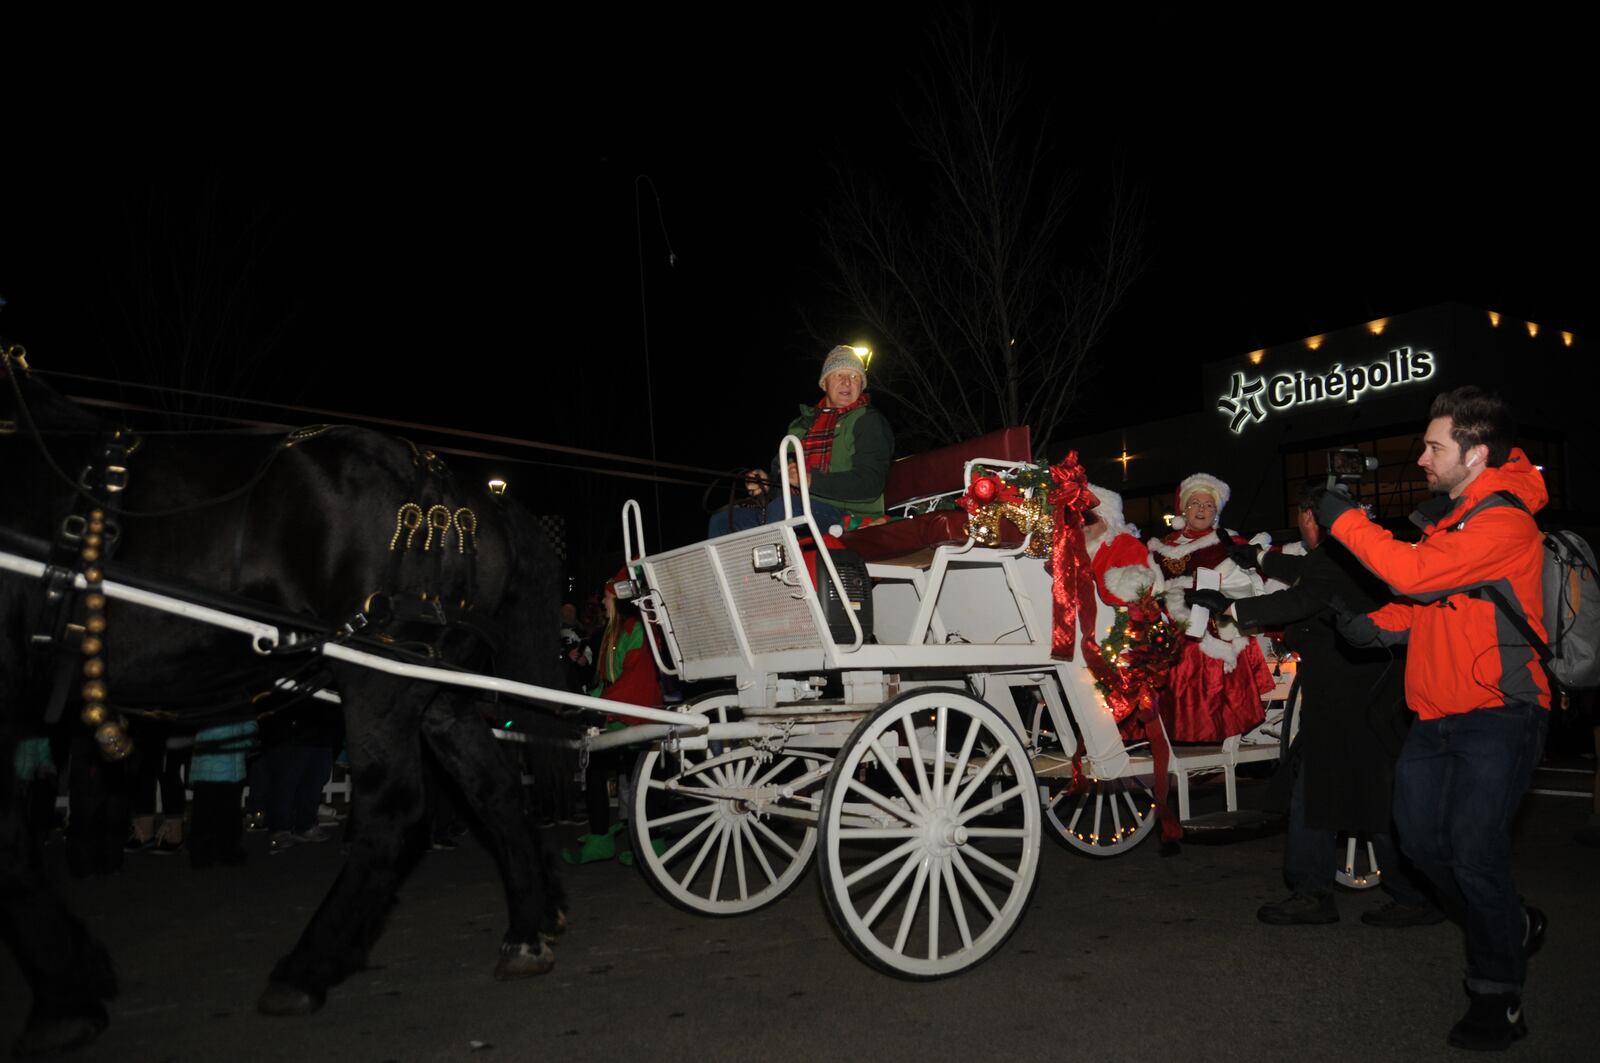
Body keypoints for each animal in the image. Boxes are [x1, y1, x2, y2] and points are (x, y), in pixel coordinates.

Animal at [0, 355, 572, 1056]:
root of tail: (446, 484)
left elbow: (9, 850)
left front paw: (63, 998)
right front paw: (78, 977)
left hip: (377, 675)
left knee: (394, 809)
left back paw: (306, 968)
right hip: (429, 680)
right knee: (493, 789)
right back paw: (524, 932)